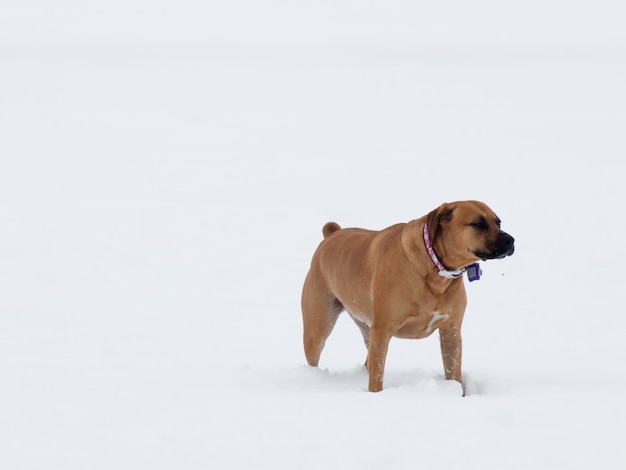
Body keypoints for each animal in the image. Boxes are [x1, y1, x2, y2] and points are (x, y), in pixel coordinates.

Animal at [302, 201, 512, 392]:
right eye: (478, 224)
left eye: (498, 222)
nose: (511, 240)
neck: (435, 269)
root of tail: (332, 234)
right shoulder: (382, 331)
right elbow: (376, 378)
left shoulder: (451, 331)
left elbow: (453, 370)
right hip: (318, 325)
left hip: (365, 325)